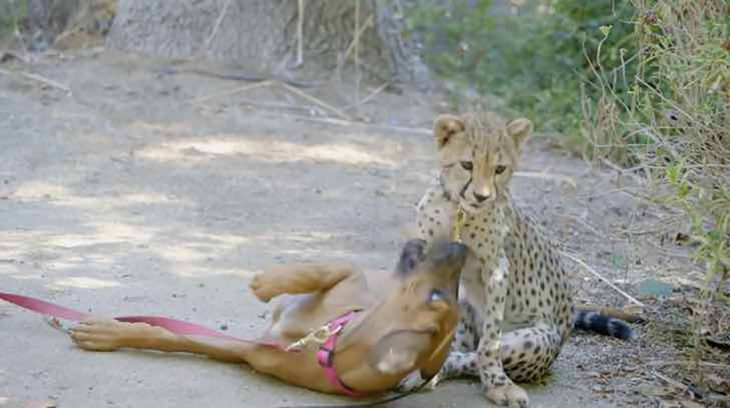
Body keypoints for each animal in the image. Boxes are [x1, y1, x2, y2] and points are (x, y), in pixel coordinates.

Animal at [68, 239, 466, 396]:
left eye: (439, 295)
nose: (462, 247)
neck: (329, 340)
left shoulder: (241, 349)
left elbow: (169, 338)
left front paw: (105, 332)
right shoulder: (350, 278)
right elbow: (324, 268)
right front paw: (269, 282)